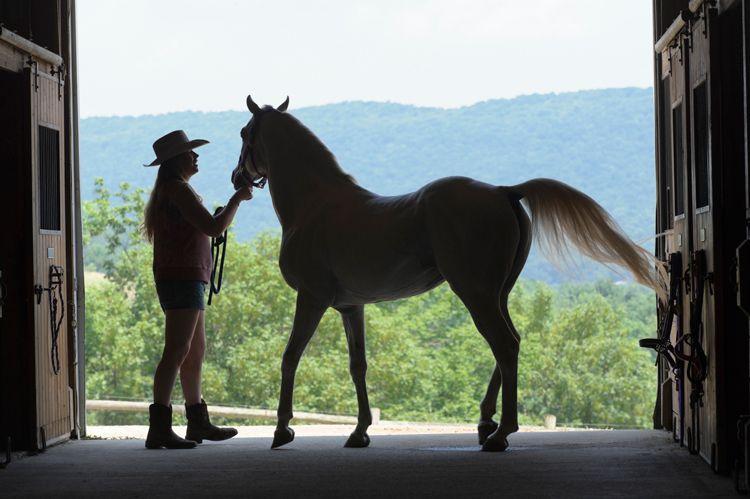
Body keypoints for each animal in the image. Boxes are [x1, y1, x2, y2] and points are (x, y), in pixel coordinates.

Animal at [231, 95, 668, 452]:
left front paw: (282, 430)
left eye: (244, 133)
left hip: (474, 293)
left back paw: (500, 433)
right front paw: (359, 432)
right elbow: (358, 367)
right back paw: (486, 422)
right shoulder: (351, 307)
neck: (316, 206)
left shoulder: (312, 298)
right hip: (496, 294)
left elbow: (290, 356)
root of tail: (503, 191)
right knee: (509, 343)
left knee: (504, 344)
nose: (237, 179)